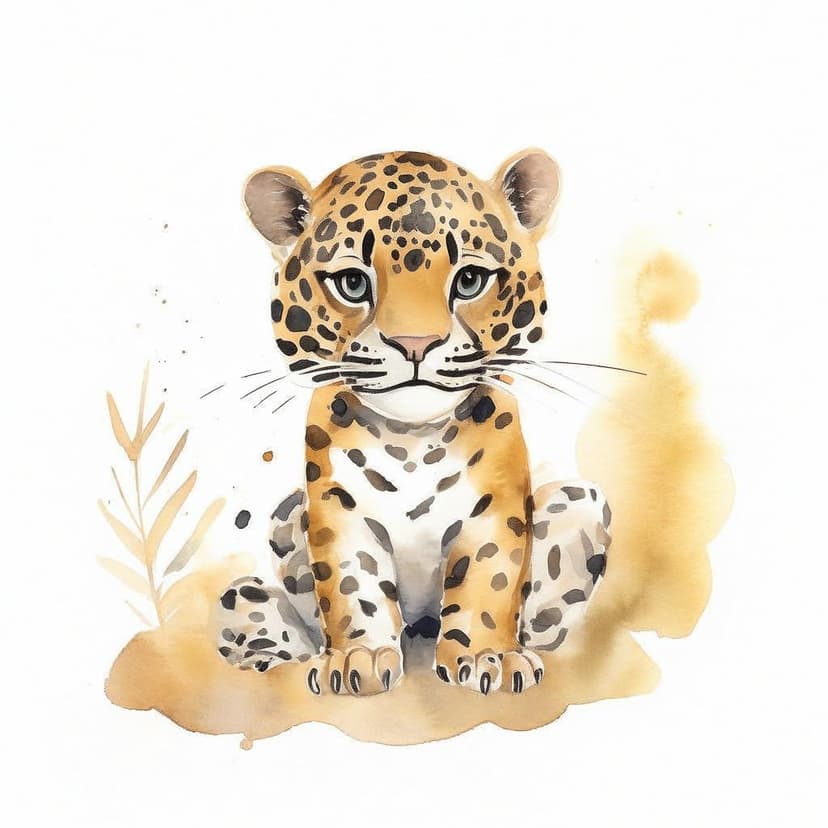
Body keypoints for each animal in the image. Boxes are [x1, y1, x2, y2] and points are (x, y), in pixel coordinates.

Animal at [212, 149, 611, 696]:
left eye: (469, 280)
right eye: (353, 283)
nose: (415, 344)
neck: (411, 443)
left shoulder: (495, 508)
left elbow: (491, 580)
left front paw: (487, 657)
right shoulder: (338, 510)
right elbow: (351, 585)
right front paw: (355, 659)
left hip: (582, 503)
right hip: (277, 529)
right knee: (247, 606)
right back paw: (273, 648)